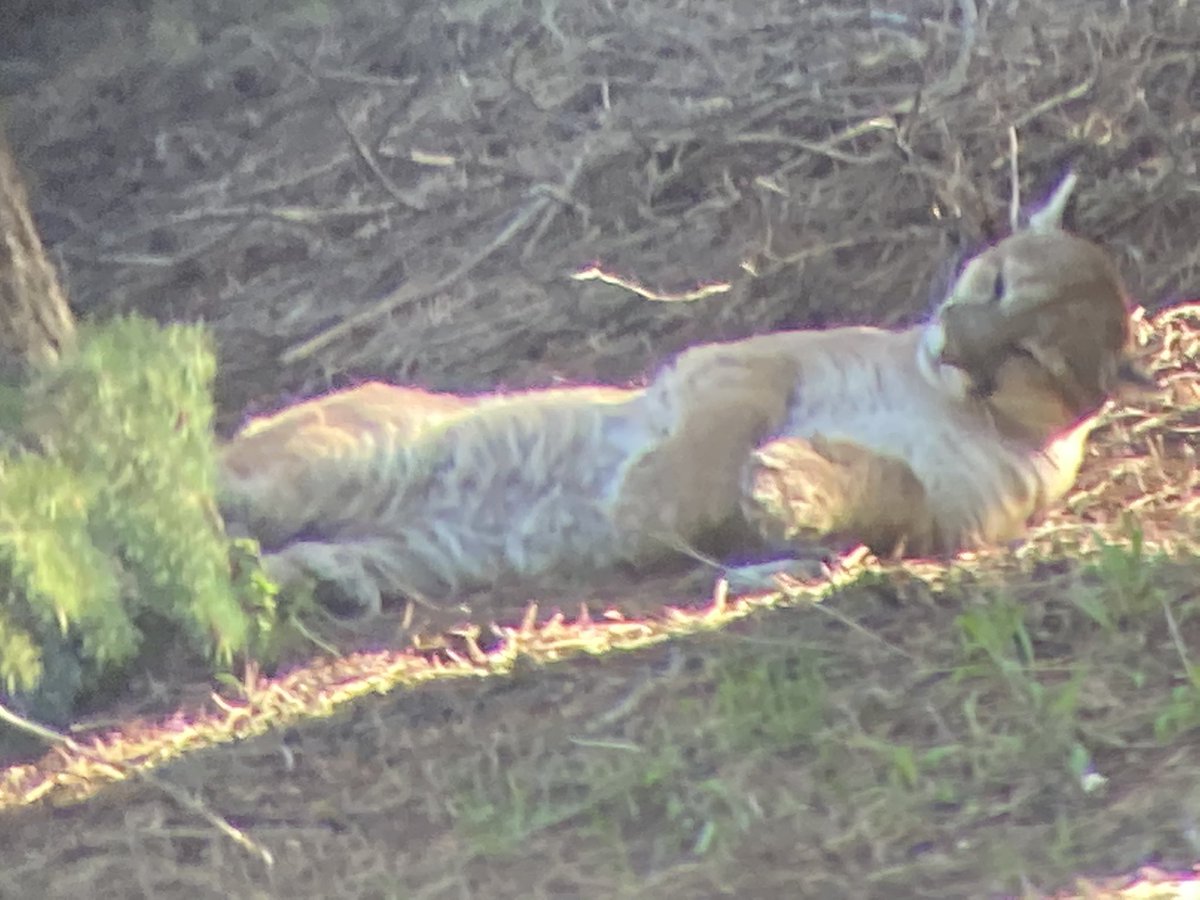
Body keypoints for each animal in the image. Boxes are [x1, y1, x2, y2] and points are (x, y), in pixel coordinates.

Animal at [219, 174, 1153, 614]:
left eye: (1028, 352)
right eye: (996, 283)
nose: (952, 347)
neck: (948, 403)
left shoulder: (950, 523)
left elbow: (897, 489)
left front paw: (792, 489)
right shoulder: (737, 363)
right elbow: (711, 444)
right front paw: (649, 506)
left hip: (392, 549)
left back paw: (303, 584)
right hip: (325, 464)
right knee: (204, 492)